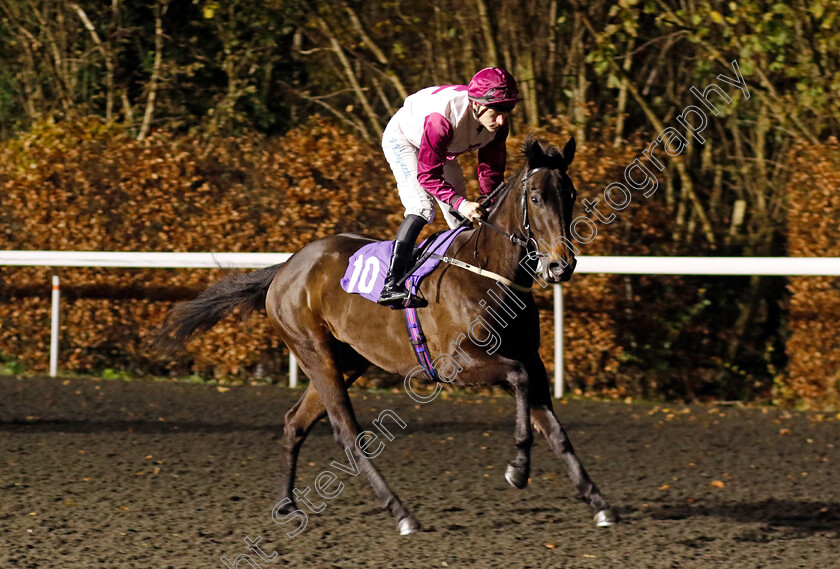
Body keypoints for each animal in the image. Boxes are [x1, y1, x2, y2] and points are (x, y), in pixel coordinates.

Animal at [154, 135, 620, 536]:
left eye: (571, 194)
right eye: (537, 197)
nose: (562, 265)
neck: (489, 272)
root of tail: (286, 267)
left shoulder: (532, 360)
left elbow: (555, 428)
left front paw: (599, 503)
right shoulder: (459, 365)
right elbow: (520, 382)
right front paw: (518, 468)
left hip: (347, 360)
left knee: (294, 422)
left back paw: (287, 503)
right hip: (315, 353)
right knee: (347, 434)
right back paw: (401, 513)